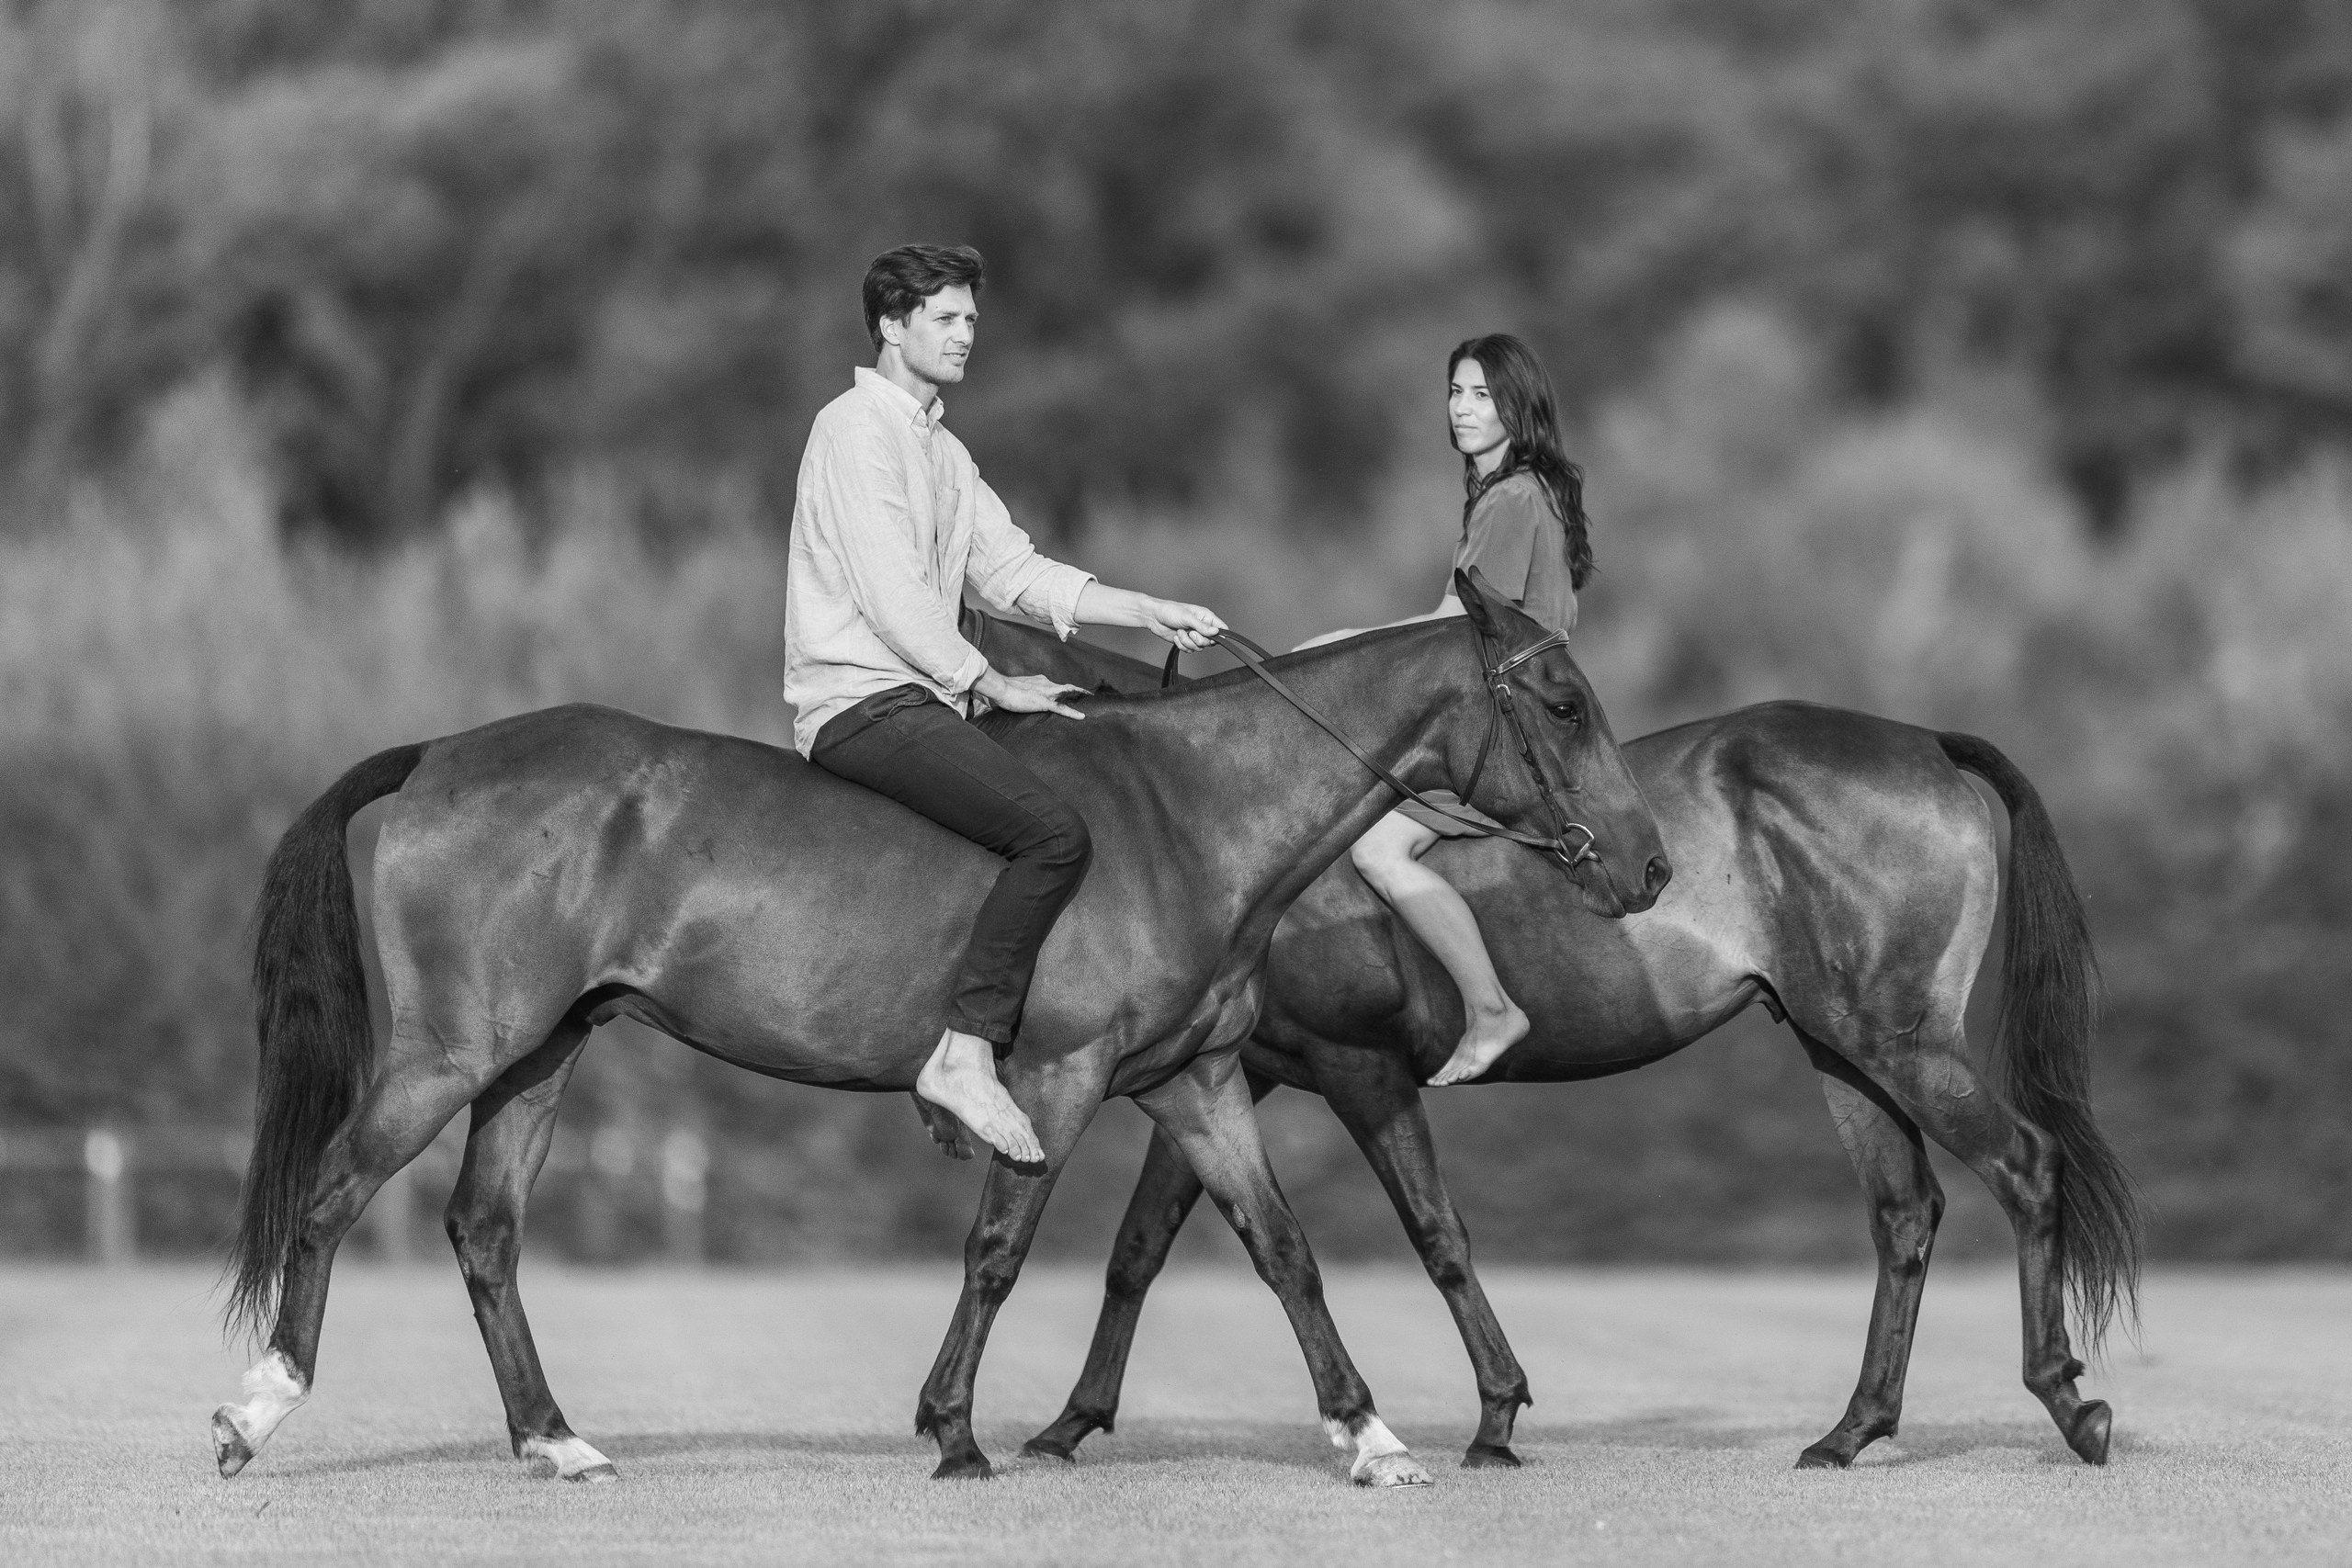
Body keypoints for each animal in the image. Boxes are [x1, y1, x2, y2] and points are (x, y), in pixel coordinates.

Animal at [207, 569, 1671, 1488]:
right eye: (1560, 704)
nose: (1649, 868)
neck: (1183, 812)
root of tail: (440, 754)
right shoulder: (1060, 1078)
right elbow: (998, 1250)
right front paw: (957, 1432)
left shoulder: (1195, 1082)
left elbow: (1284, 1252)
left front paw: (1366, 1435)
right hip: (449, 1056)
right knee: (332, 1197)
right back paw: (257, 1407)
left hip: (536, 1058)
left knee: (484, 1235)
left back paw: (553, 1439)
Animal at [965, 612, 2141, 1471]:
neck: (1215, 804)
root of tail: (1922, 741)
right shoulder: (1232, 1072)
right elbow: (1142, 1250)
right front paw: (1067, 1424)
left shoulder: (1356, 1068)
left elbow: (1434, 1234)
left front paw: (1494, 1418)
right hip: (1841, 1048)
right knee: (1904, 1216)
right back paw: (1851, 1432)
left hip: (1898, 1042)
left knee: (2025, 1166)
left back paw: (2066, 1403)